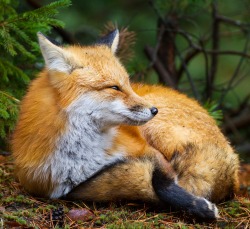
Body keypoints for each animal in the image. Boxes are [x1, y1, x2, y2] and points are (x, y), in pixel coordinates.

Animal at [11, 29, 238, 219]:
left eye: (128, 84)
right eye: (114, 87)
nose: (154, 110)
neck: (82, 156)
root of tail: (231, 159)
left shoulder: (150, 153)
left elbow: (161, 183)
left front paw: (199, 207)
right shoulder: (42, 183)